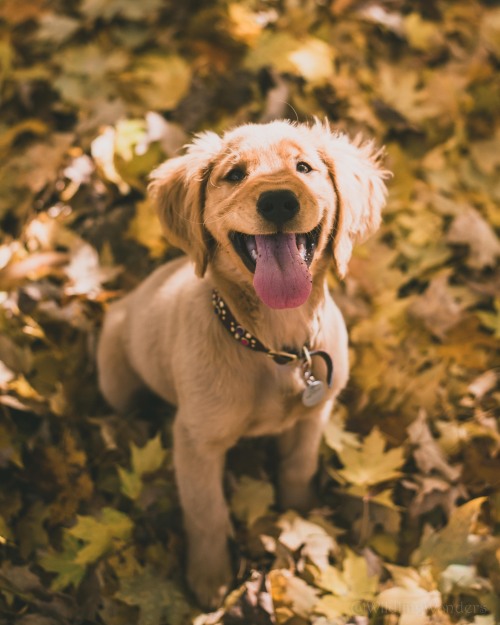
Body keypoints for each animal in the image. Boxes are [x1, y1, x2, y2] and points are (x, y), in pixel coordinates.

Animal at [95, 119, 388, 608]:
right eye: (234, 175)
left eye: (304, 167)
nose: (278, 201)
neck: (277, 345)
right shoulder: (196, 439)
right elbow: (206, 512)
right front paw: (210, 578)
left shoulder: (317, 412)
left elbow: (299, 465)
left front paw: (301, 514)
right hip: (116, 378)